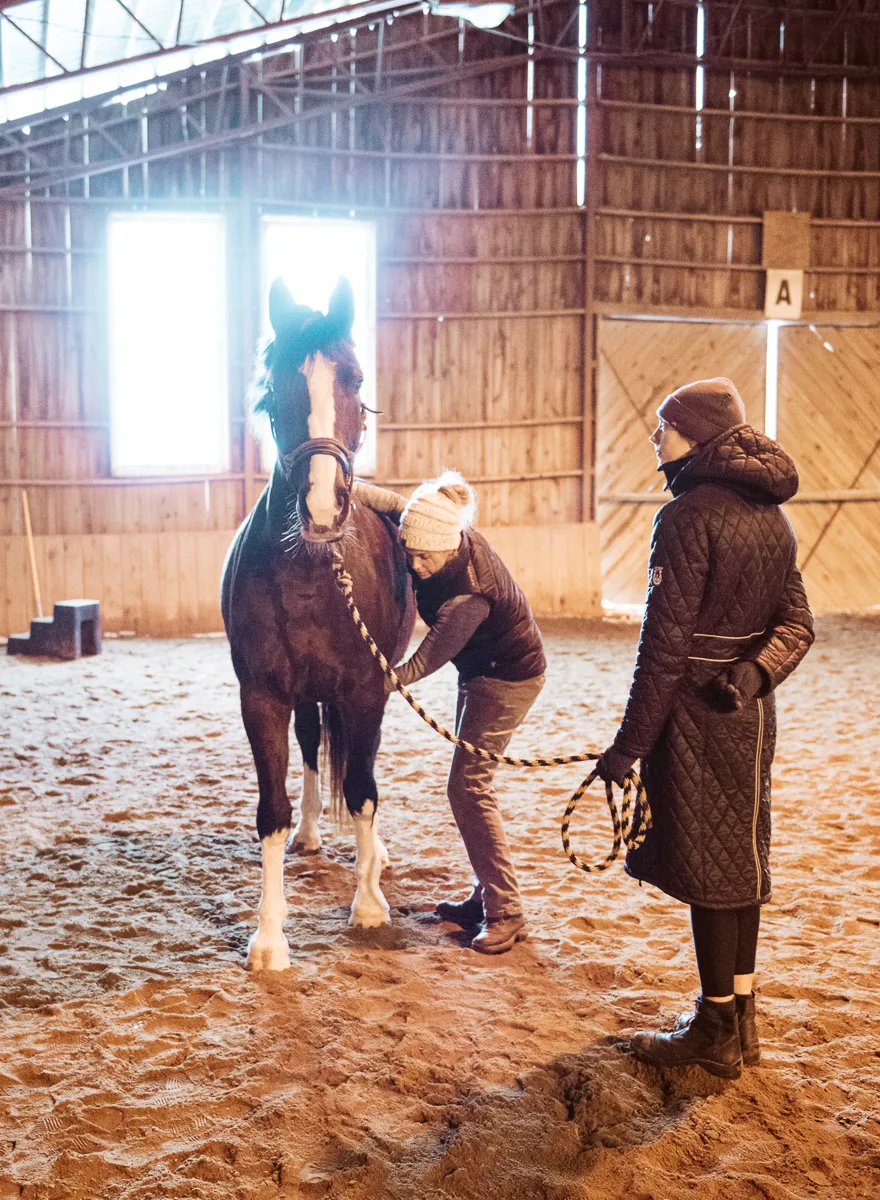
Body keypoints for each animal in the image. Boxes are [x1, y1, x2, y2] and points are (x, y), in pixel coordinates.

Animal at [221, 275, 415, 971]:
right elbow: (272, 809)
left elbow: (362, 789)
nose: (323, 510)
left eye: (355, 380)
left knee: (361, 767)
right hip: (306, 696)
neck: (313, 574)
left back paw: (374, 856)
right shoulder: (263, 696)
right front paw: (269, 939)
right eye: (275, 387)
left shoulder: (364, 690)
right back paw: (311, 833)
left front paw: (369, 906)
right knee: (310, 748)